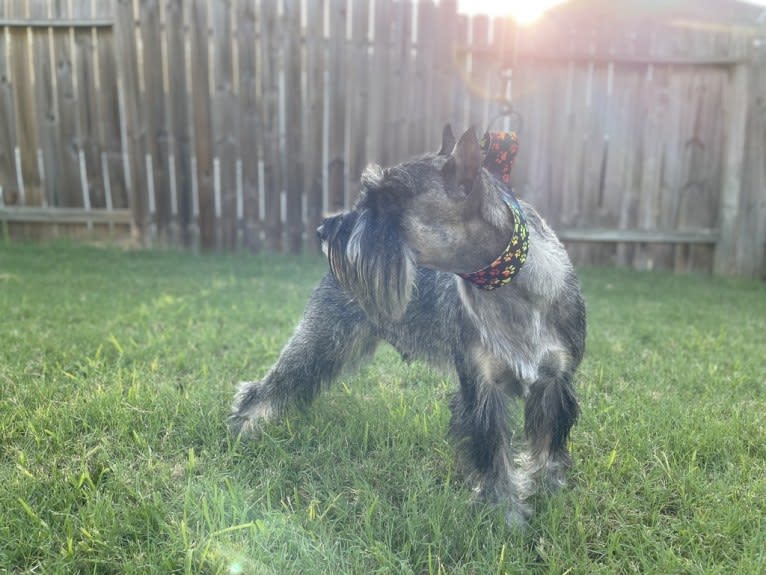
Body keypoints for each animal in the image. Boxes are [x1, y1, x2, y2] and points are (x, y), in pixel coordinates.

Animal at [230, 125, 588, 528]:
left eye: (387, 198)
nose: (324, 230)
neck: (507, 286)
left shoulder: (554, 382)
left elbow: (547, 447)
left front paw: (548, 491)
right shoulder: (482, 390)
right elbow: (493, 459)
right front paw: (505, 517)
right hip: (321, 340)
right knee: (267, 385)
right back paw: (245, 427)